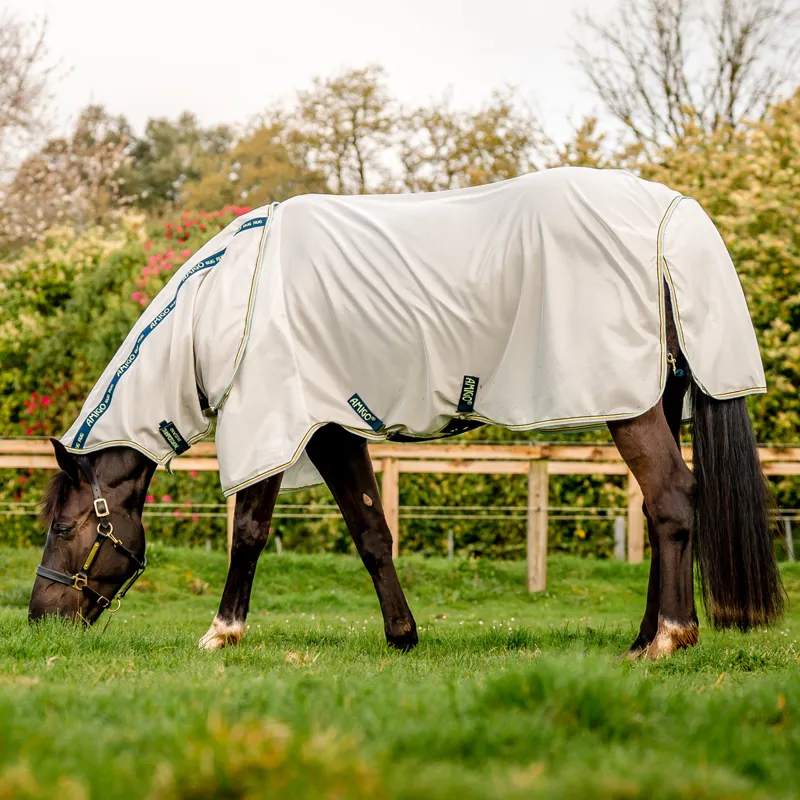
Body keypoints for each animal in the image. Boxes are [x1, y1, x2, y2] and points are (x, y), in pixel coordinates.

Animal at [28, 167, 784, 656]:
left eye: (65, 528)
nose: (39, 621)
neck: (228, 297)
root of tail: (671, 213)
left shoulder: (275, 421)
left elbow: (248, 531)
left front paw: (222, 632)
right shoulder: (331, 429)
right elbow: (371, 532)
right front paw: (404, 636)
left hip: (629, 404)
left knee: (672, 499)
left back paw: (668, 640)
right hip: (655, 396)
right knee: (664, 509)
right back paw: (643, 636)